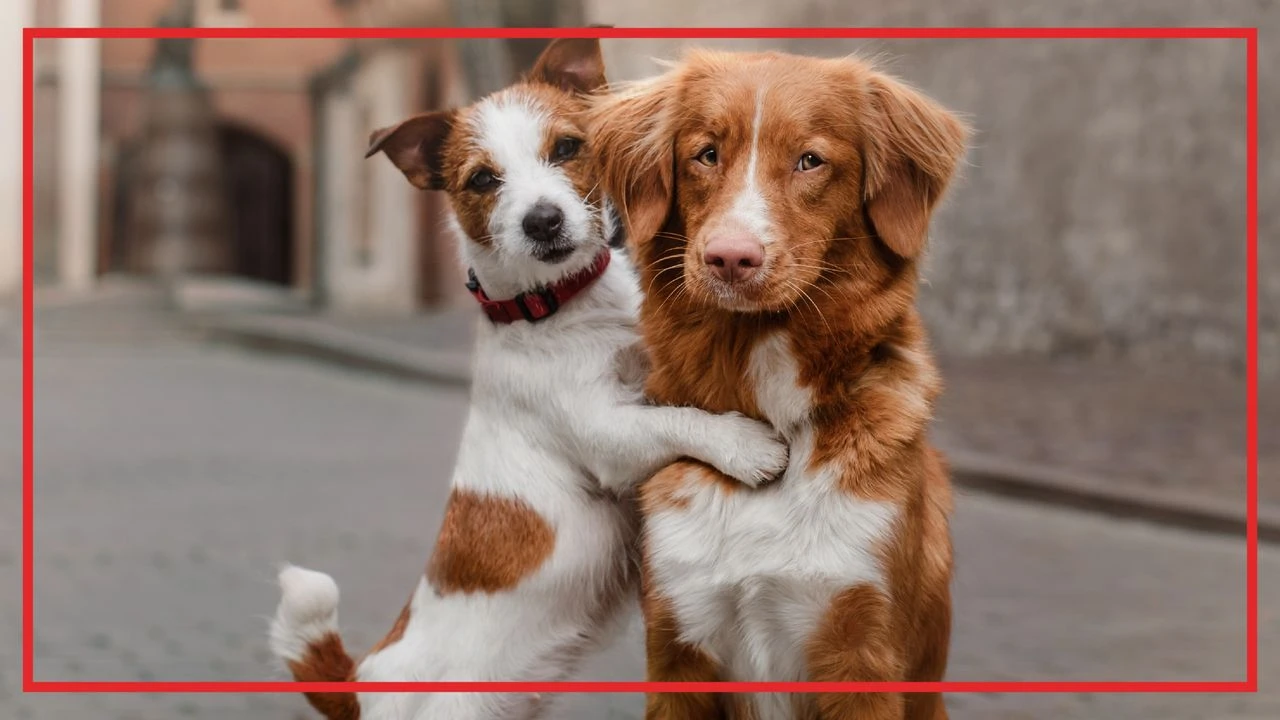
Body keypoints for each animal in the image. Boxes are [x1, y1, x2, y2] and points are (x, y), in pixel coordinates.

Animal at [268, 37, 783, 717]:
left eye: (566, 148)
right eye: (483, 179)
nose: (543, 220)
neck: (560, 306)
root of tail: (361, 686)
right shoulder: (606, 433)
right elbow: (678, 419)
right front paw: (744, 445)